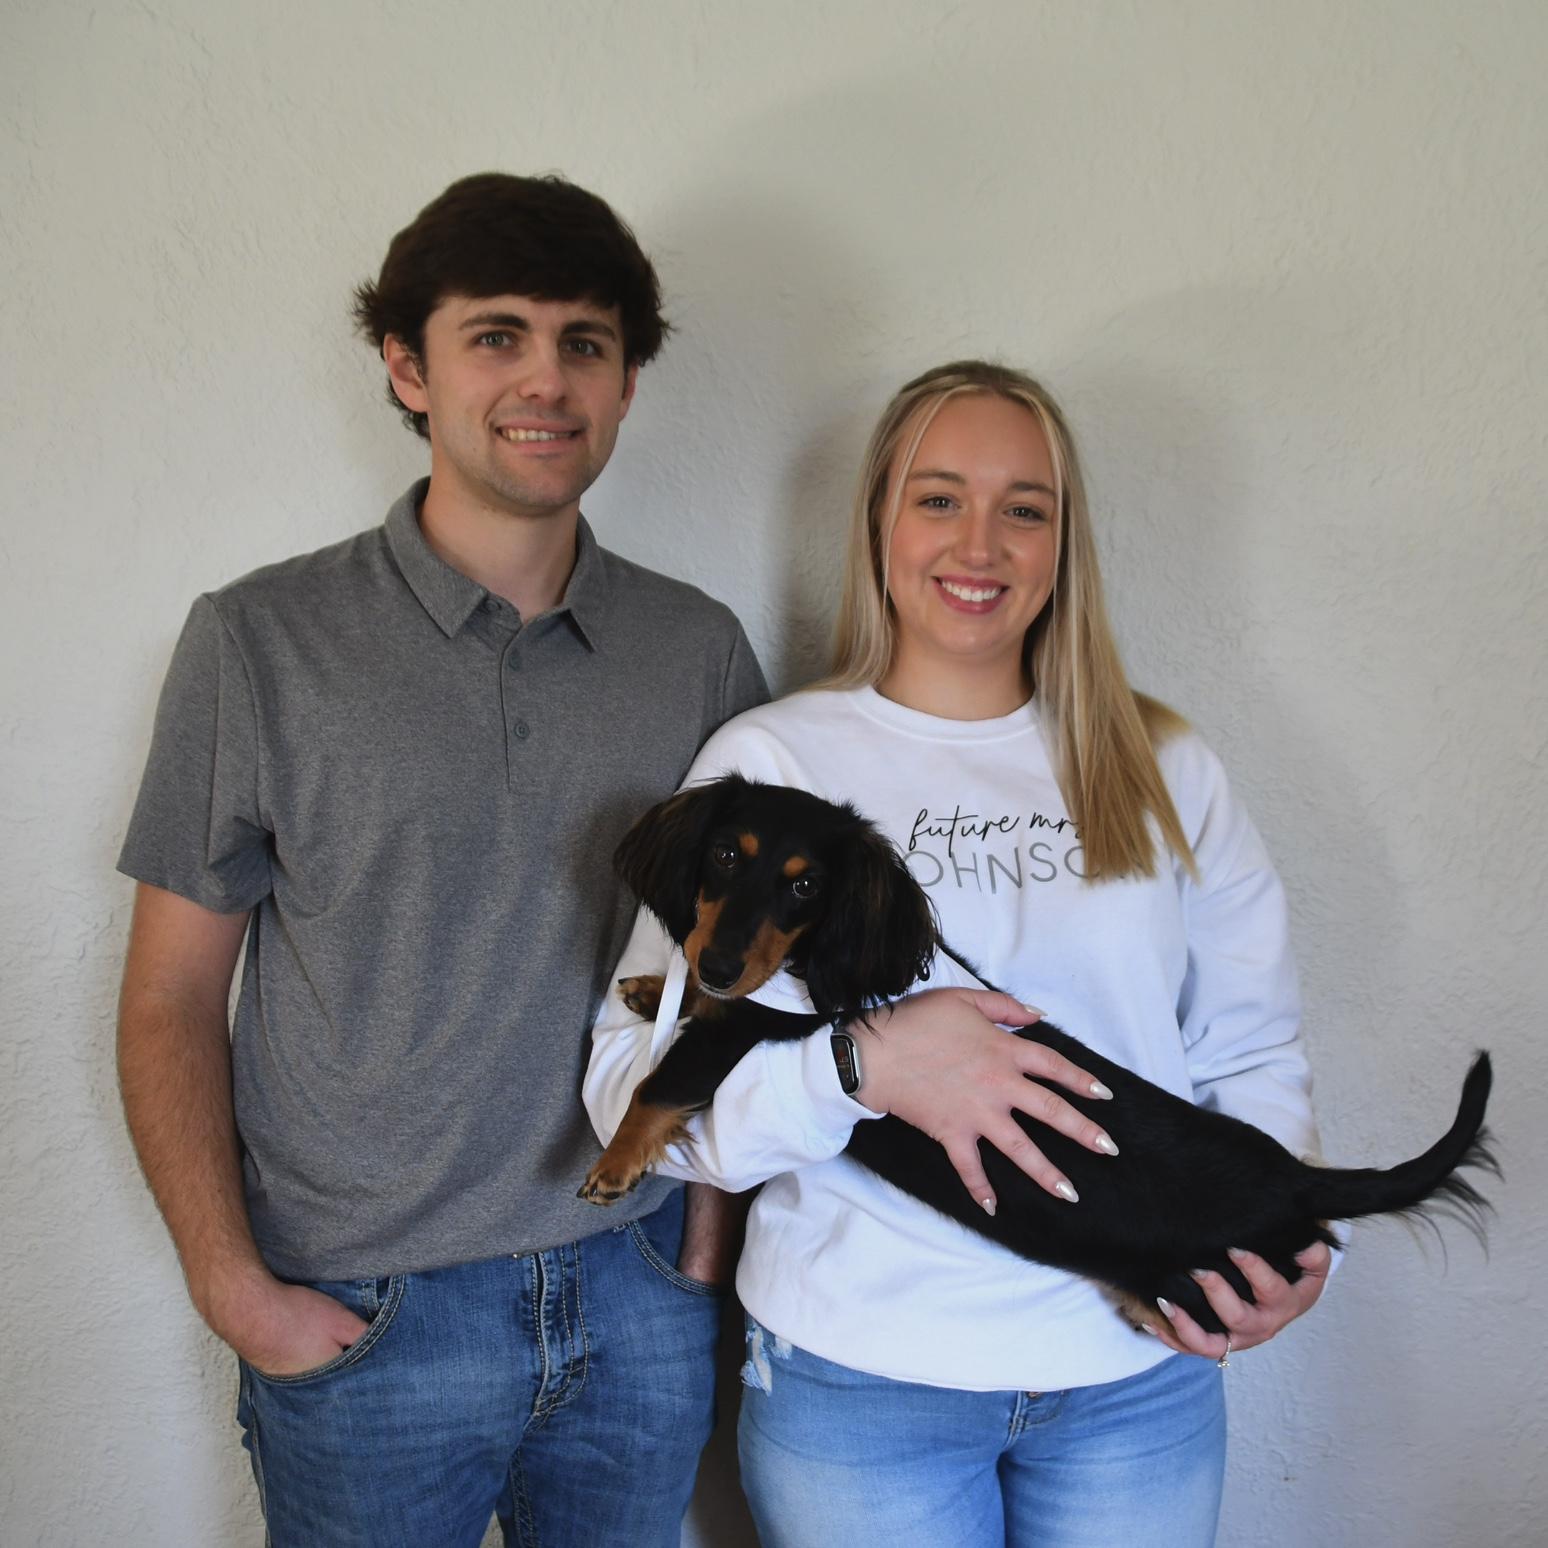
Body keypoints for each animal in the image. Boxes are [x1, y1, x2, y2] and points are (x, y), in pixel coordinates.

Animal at [579, 775, 1496, 1333]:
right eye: (723, 855)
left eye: (806, 885)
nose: (713, 962)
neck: (808, 971)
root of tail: (1296, 1179)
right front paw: (651, 991)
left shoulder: (752, 1031)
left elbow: (662, 1080)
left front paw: (615, 1163)